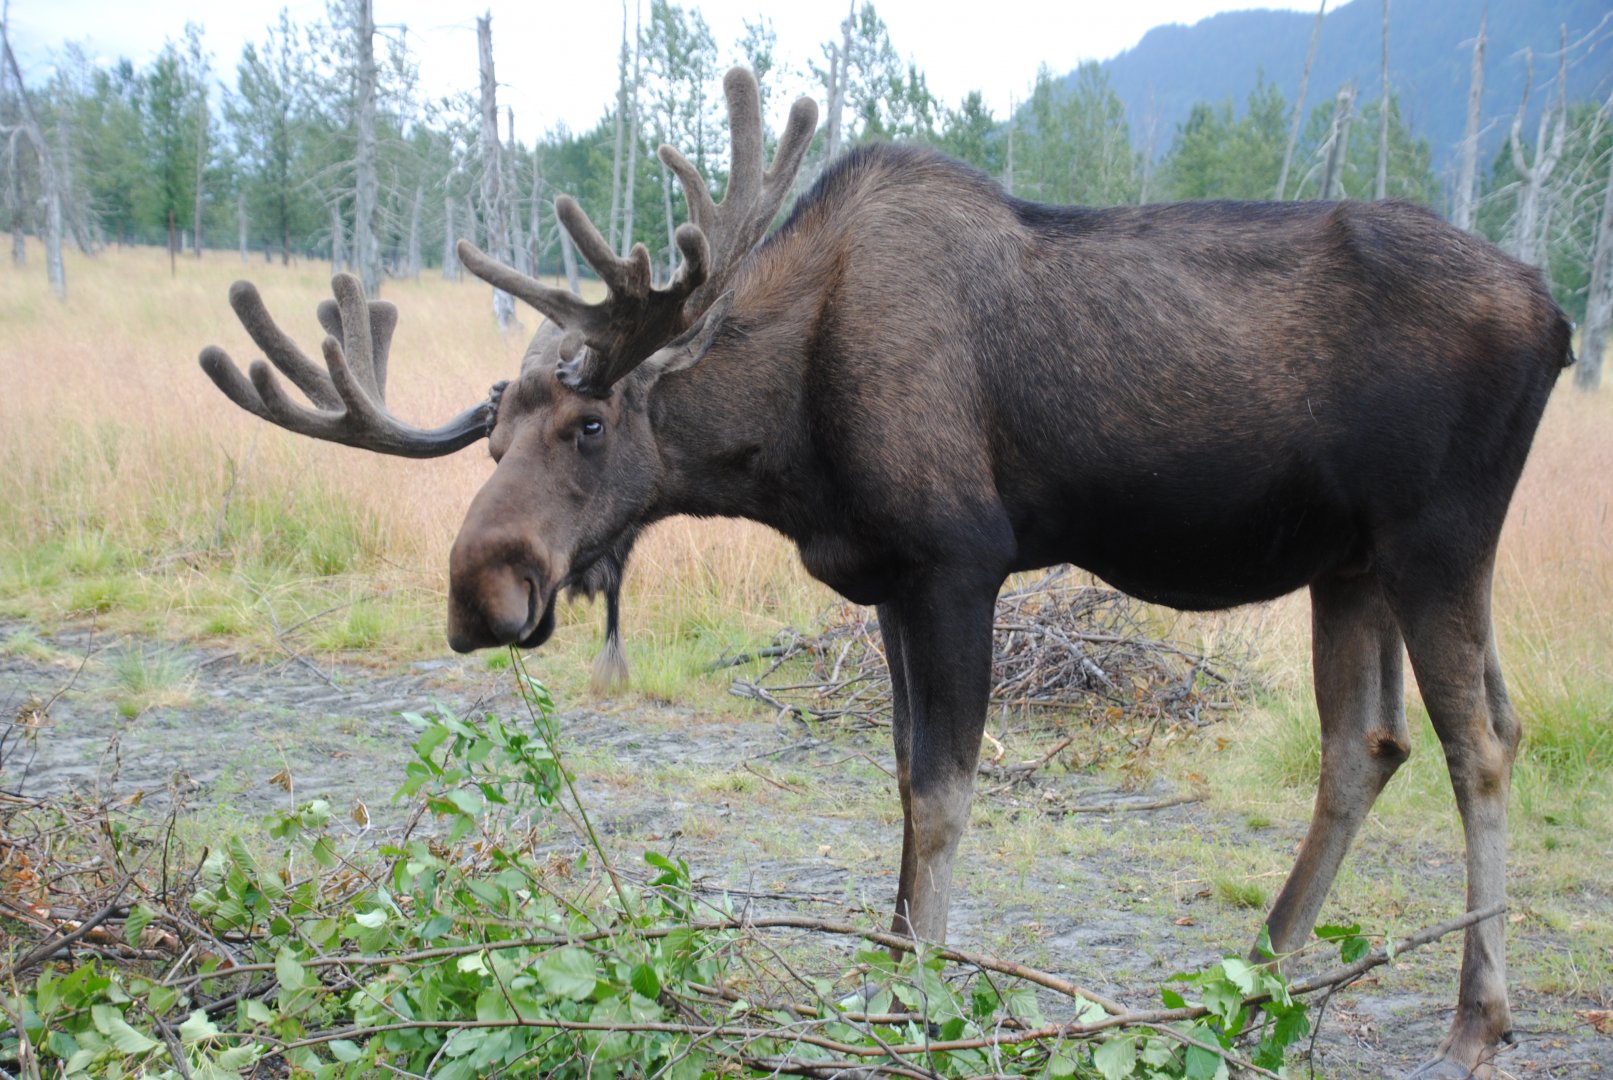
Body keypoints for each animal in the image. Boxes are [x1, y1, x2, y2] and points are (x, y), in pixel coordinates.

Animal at [199, 68, 1572, 1078]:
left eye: (590, 427)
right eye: (489, 440)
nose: (479, 592)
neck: (786, 441)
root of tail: (1557, 320)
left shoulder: (958, 565)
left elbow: (942, 797)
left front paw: (921, 1000)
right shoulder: (889, 586)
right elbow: (900, 797)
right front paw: (884, 975)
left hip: (1435, 537)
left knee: (1480, 744)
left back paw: (1474, 1016)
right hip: (1349, 561)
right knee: (1370, 744)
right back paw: (1253, 980)